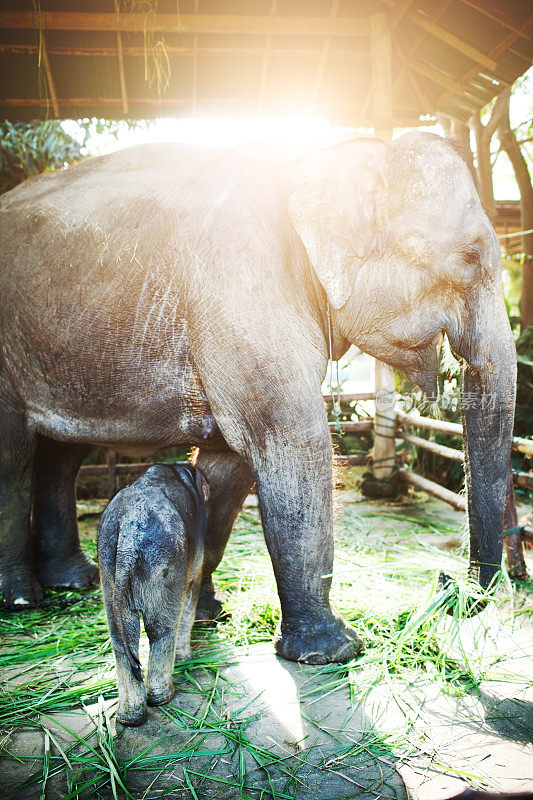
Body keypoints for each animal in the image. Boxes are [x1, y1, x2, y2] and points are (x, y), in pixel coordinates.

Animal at [0, 136, 516, 664]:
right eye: (470, 257)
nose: (448, 582)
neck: (320, 160)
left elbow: (228, 466)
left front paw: (207, 614)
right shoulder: (242, 296)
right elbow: (294, 443)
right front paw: (335, 651)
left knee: (61, 455)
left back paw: (72, 582)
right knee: (15, 455)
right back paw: (22, 599)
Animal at [97, 460, 208, 728]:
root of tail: (128, 534)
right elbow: (192, 589)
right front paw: (186, 658)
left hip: (108, 568)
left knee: (122, 638)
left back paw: (130, 719)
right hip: (166, 560)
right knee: (161, 630)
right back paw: (163, 698)